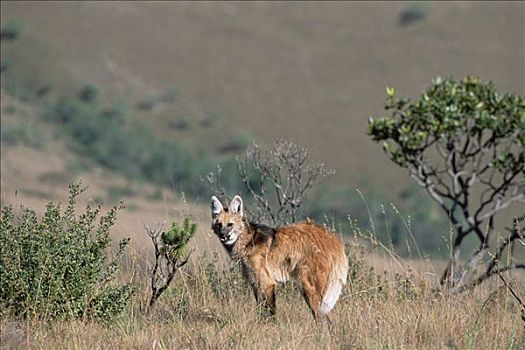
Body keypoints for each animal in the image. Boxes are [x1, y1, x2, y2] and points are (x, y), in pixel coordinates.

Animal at [209, 194, 348, 320]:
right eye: (219, 225)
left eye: (230, 224)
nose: (223, 236)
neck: (247, 242)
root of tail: (332, 238)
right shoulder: (255, 283)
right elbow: (260, 309)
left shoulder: (267, 283)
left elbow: (270, 313)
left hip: (308, 285)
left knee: (321, 316)